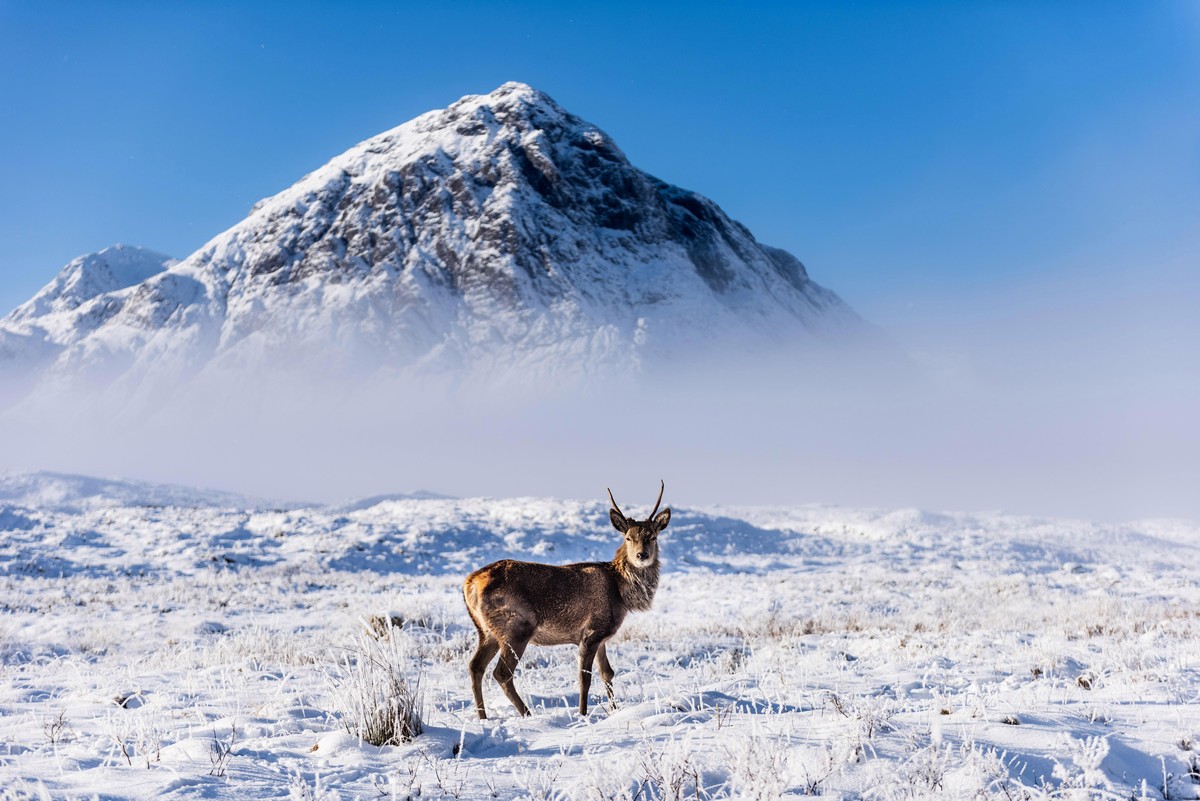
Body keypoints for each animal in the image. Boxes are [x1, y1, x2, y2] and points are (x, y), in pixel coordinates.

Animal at [460, 479, 672, 714]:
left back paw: (483, 716)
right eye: (628, 538)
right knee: (502, 673)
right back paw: (526, 713)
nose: (642, 555)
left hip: (486, 630)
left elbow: (607, 673)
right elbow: (584, 678)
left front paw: (614, 710)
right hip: (516, 627)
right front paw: (583, 713)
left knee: (475, 666)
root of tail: (469, 583)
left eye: (652, 537)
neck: (621, 593)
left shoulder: (602, 636)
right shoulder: (591, 632)